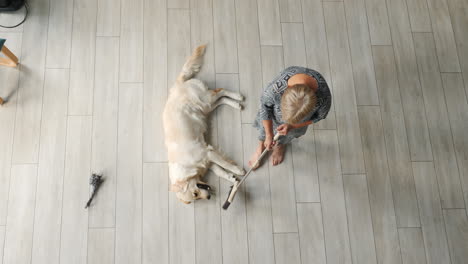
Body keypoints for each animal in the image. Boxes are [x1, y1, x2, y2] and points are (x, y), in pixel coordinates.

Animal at [163, 44, 245, 203]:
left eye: (195, 193)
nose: (208, 197)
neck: (186, 165)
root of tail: (178, 84)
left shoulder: (208, 153)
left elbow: (225, 164)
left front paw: (238, 170)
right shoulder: (208, 162)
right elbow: (221, 171)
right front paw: (231, 177)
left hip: (205, 100)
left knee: (220, 91)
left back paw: (237, 96)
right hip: (206, 108)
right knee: (221, 99)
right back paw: (236, 104)